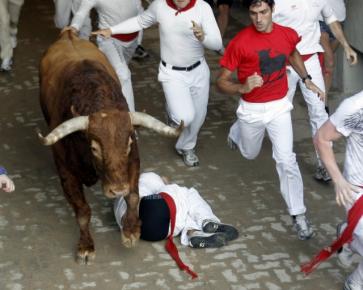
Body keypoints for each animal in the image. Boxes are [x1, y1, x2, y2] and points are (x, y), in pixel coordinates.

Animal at [38, 30, 181, 264]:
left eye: (129, 143)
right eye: (94, 148)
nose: (117, 189)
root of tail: (69, 34)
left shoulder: (133, 161)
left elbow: (133, 196)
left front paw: (131, 231)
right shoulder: (67, 174)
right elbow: (83, 211)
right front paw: (86, 246)